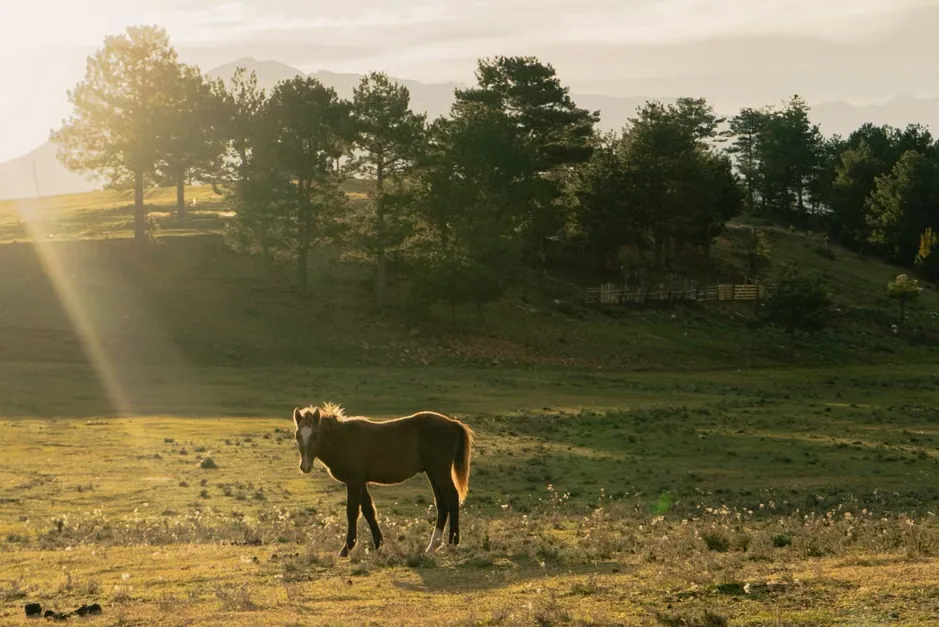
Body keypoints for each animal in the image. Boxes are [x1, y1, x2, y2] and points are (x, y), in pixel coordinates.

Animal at [291, 402, 474, 557]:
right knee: (442, 503)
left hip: (439, 471)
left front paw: (346, 549)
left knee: (452, 497)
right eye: (298, 436)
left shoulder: (353, 481)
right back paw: (433, 546)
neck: (342, 439)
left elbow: (352, 511)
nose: (305, 467)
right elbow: (368, 510)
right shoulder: (360, 482)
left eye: (315, 436)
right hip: (433, 473)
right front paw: (378, 544)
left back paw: (452, 543)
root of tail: (453, 423)